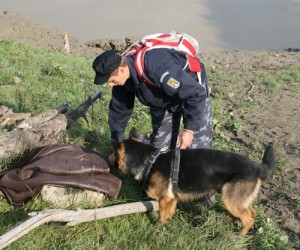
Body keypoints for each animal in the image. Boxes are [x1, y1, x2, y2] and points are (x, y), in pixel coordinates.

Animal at [113, 128, 276, 235]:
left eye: (114, 156)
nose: (111, 166)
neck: (150, 160)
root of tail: (257, 167)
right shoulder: (171, 199)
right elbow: (169, 212)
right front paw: (167, 223)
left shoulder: (165, 199)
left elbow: (162, 215)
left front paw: (158, 227)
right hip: (238, 201)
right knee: (251, 212)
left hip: (230, 201)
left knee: (249, 219)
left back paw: (240, 235)